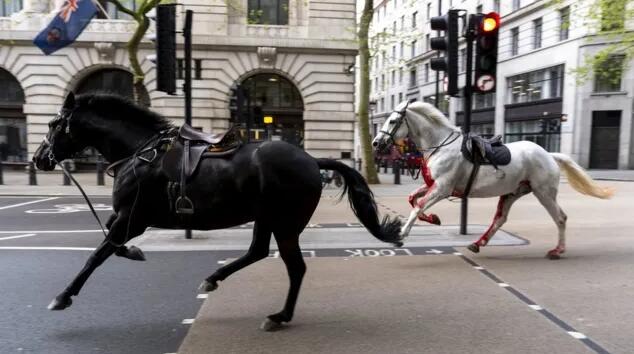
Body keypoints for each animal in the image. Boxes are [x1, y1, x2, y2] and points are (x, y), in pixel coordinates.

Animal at [33, 92, 400, 330]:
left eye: (53, 124)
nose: (38, 159)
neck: (139, 153)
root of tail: (312, 160)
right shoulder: (125, 218)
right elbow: (110, 244)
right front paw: (135, 252)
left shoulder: (131, 218)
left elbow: (97, 254)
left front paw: (63, 296)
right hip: (266, 218)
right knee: (257, 252)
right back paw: (215, 280)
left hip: (285, 223)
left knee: (295, 267)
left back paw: (279, 316)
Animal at [370, 101, 612, 258]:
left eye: (393, 121)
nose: (375, 143)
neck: (440, 145)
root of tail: (549, 155)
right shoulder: (433, 185)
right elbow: (413, 200)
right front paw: (433, 218)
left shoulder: (442, 188)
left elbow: (418, 205)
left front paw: (401, 234)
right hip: (512, 193)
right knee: (500, 219)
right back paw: (478, 243)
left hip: (544, 193)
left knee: (560, 218)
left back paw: (557, 250)